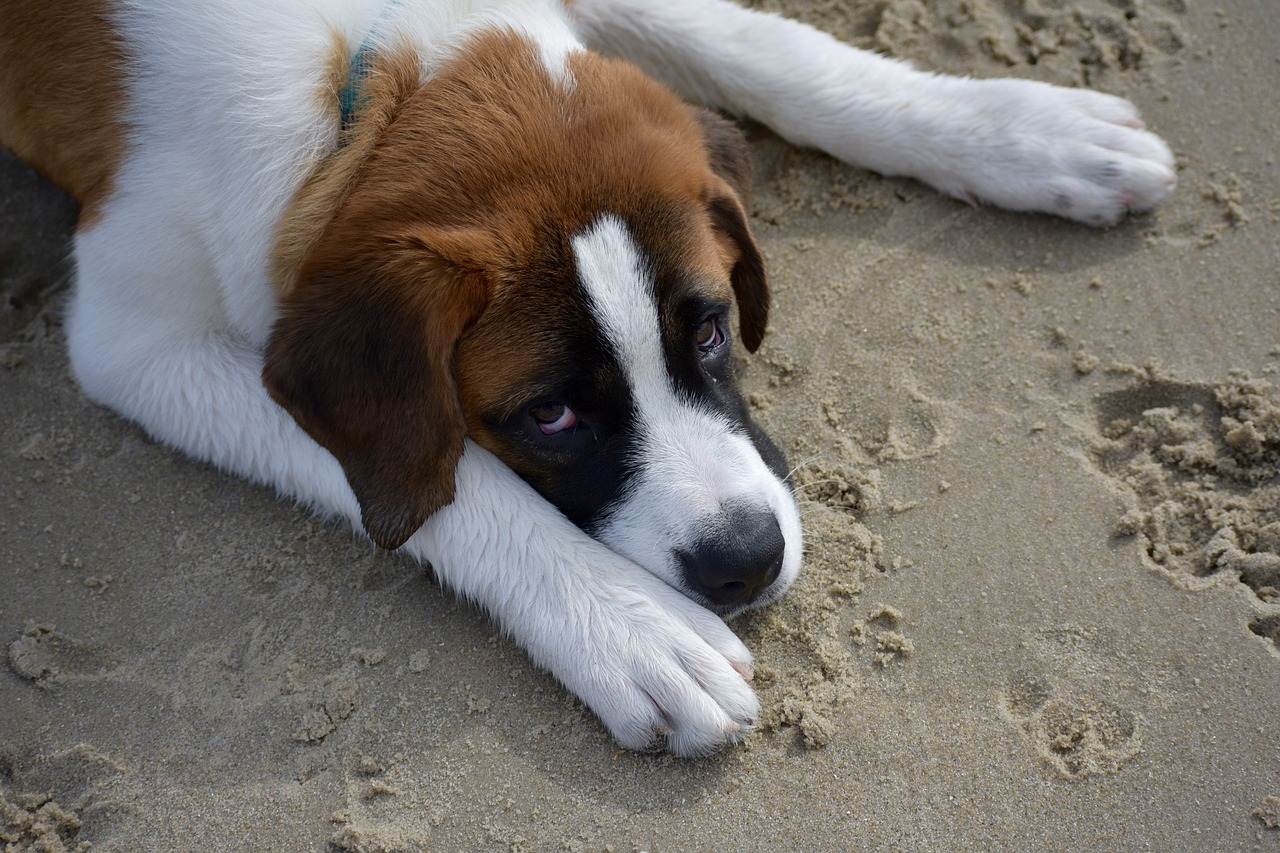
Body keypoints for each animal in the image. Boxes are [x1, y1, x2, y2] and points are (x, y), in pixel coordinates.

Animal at [0, 0, 1172, 753]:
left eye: (710, 331)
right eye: (550, 414)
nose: (744, 561)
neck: (364, 93)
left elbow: (757, 42)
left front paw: (1018, 128)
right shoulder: (139, 341)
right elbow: (443, 482)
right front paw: (630, 628)